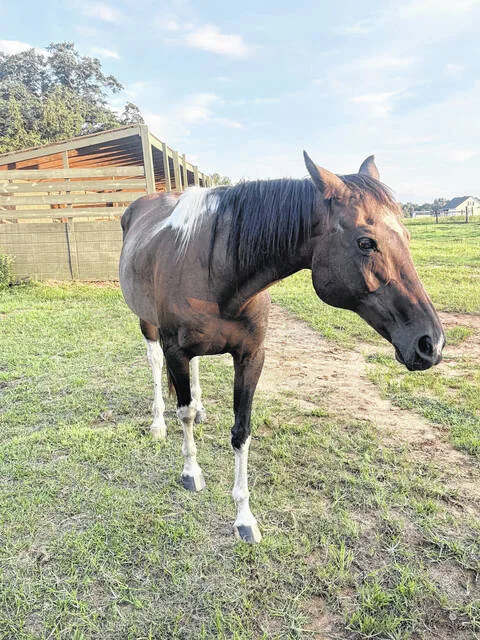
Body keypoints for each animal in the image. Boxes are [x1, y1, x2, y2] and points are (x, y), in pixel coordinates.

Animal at [119, 152, 445, 543]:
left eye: (407, 236)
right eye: (366, 242)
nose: (431, 343)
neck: (216, 271)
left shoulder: (250, 357)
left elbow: (241, 433)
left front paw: (244, 518)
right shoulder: (176, 351)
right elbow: (182, 414)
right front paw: (191, 472)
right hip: (149, 326)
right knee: (155, 365)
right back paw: (157, 423)